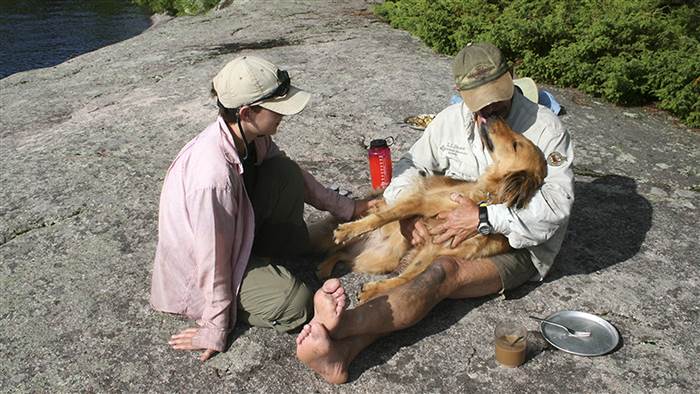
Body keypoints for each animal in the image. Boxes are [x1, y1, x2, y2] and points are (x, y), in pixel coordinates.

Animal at [318, 117, 548, 302]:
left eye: (516, 145)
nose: (494, 116)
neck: (486, 200)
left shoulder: (433, 251)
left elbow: (405, 278)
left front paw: (375, 290)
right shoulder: (422, 202)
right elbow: (383, 216)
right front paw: (348, 230)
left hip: (381, 259)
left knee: (342, 254)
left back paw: (325, 267)